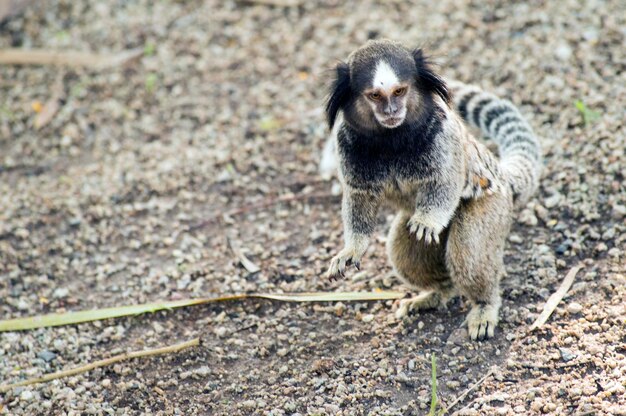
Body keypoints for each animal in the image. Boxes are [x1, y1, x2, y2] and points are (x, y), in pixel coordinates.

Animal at [324, 39, 540, 340]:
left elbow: (446, 180)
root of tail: (503, 175)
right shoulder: (346, 140)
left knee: (469, 256)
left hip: (494, 205)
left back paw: (485, 304)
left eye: (399, 91)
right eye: (375, 96)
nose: (391, 111)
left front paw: (427, 221)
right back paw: (438, 293)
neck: (390, 139)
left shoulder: (442, 131)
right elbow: (359, 197)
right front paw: (352, 249)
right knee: (404, 252)